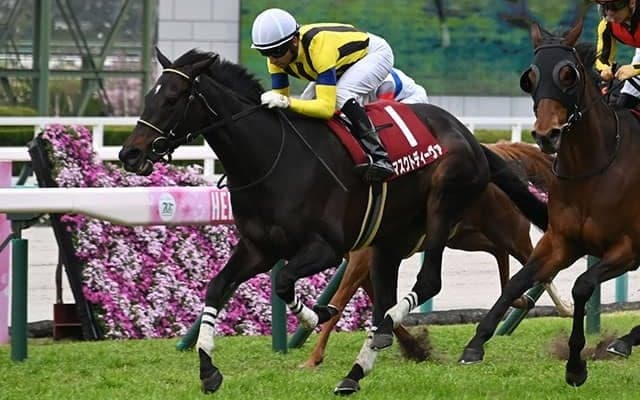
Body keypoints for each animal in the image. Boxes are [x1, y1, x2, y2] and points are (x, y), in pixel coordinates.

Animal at [302, 141, 570, 371]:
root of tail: (500, 151)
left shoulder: (361, 259)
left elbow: (339, 302)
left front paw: (313, 358)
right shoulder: (365, 261)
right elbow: (380, 302)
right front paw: (415, 348)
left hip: (508, 230)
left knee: (537, 262)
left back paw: (564, 307)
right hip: (465, 237)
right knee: (501, 253)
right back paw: (523, 301)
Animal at [458, 19, 640, 387]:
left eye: (568, 74)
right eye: (529, 77)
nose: (546, 135)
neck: (593, 168)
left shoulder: (628, 248)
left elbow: (583, 286)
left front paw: (575, 365)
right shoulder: (560, 241)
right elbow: (518, 279)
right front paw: (475, 344)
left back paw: (625, 341)